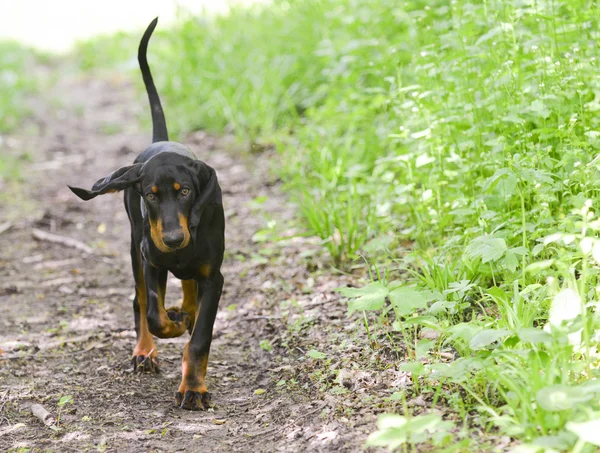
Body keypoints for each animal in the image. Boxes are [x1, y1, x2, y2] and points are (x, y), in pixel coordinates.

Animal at [68, 16, 223, 410]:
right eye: (150, 195)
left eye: (184, 191)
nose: (173, 238)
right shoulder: (151, 259)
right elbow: (153, 314)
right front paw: (172, 325)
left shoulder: (214, 277)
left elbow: (200, 338)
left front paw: (193, 388)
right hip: (136, 246)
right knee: (140, 301)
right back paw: (146, 350)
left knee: (187, 288)